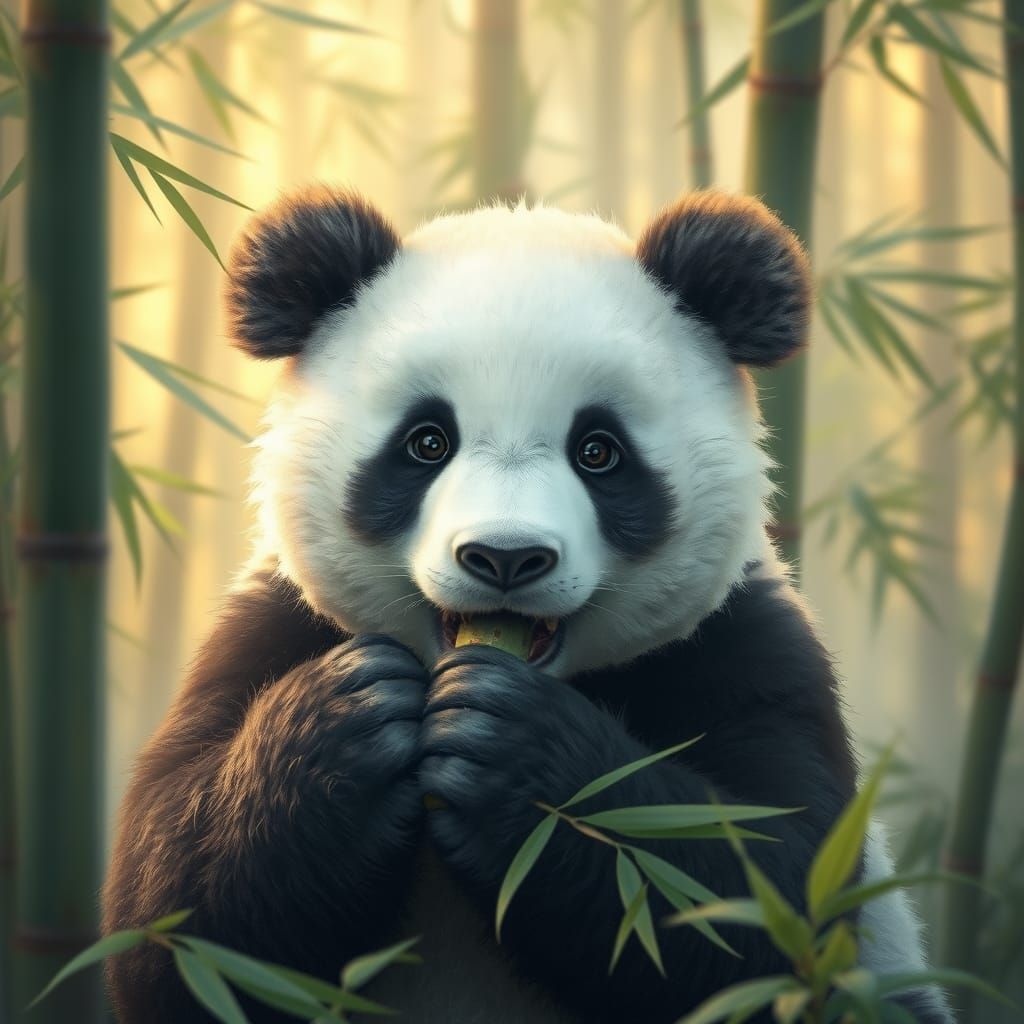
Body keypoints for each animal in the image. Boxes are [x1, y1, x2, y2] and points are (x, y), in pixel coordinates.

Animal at [102, 187, 953, 1024]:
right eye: (426, 442)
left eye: (599, 452)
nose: (505, 557)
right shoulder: (269, 631)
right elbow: (175, 923)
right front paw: (348, 721)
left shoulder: (742, 648)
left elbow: (768, 894)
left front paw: (509, 748)